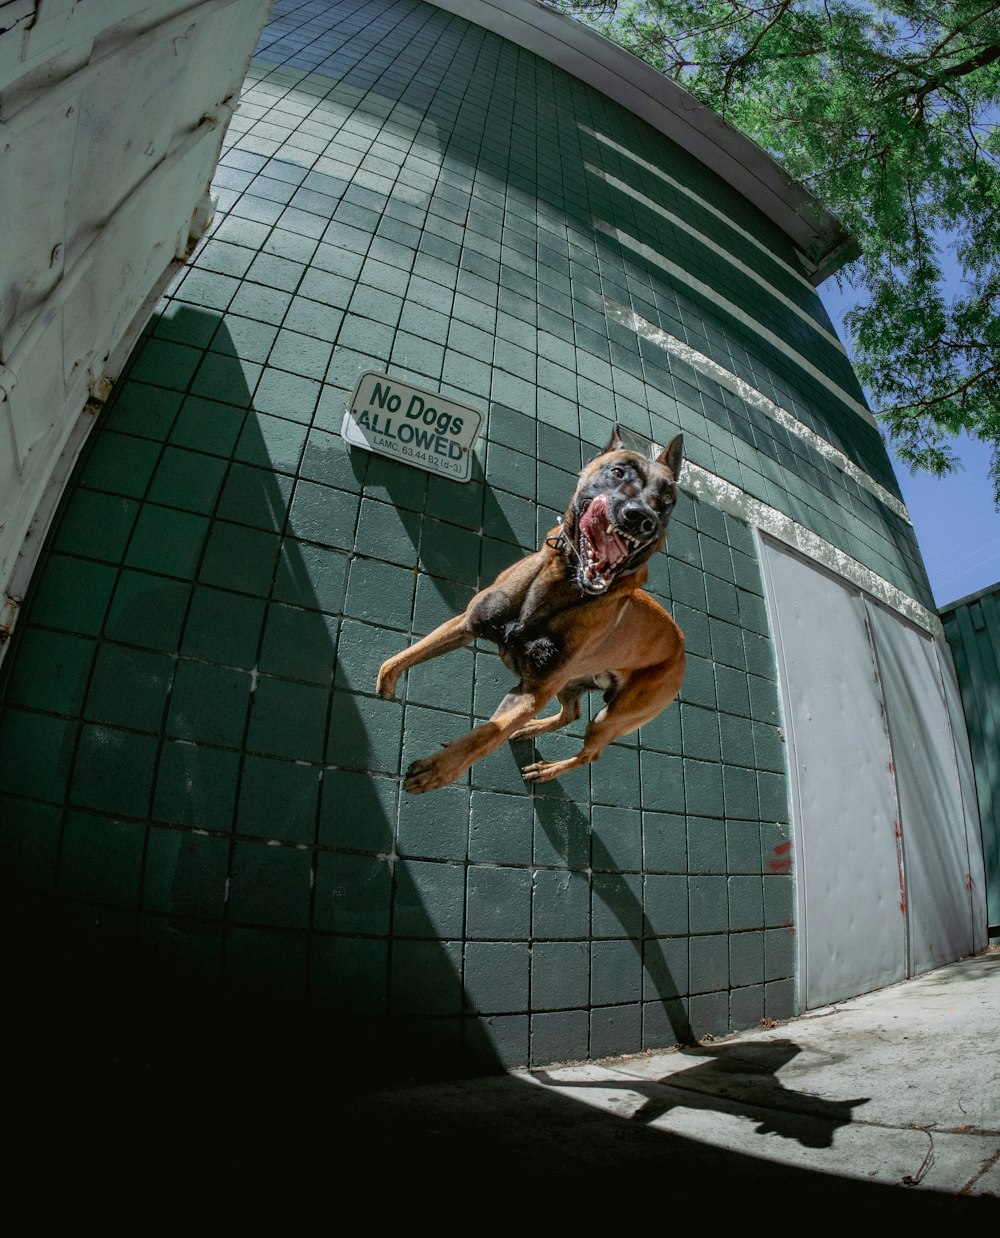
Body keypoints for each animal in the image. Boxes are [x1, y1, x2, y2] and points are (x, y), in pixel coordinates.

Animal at [376, 425, 688, 792]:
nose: (642, 518)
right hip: (571, 685)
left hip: (611, 717)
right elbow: (409, 654)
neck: (563, 583)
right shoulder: (466, 624)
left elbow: (485, 736)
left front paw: (439, 769)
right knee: (571, 713)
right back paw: (532, 729)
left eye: (666, 501)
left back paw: (546, 769)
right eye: (618, 471)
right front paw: (387, 681)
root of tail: (681, 649)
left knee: (589, 753)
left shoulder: (530, 695)